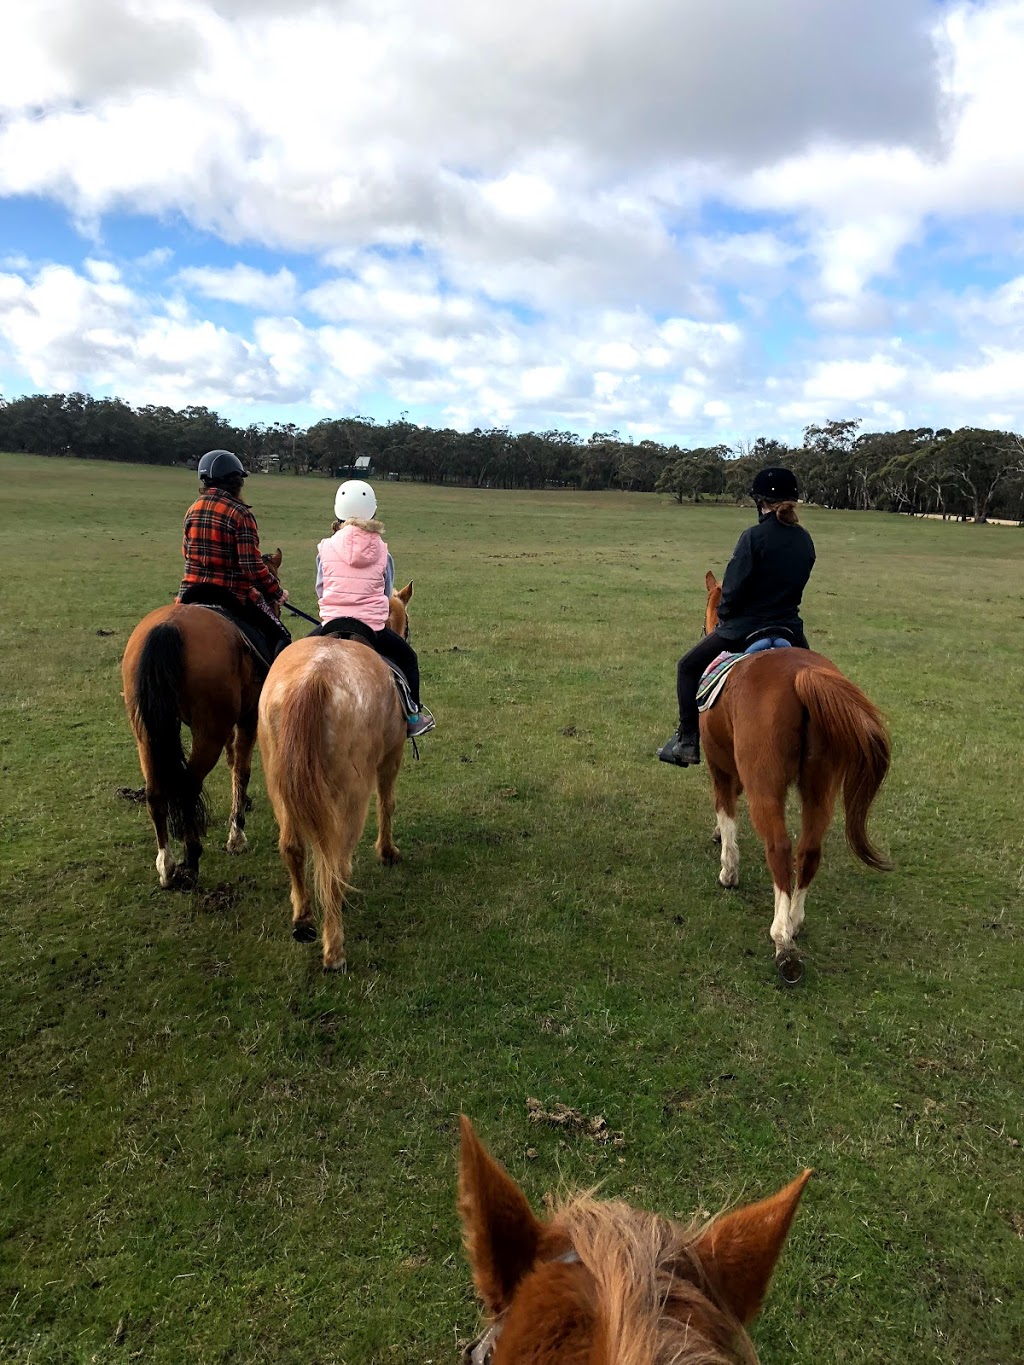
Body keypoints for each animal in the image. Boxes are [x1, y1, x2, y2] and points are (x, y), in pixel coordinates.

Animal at [122, 548, 286, 889]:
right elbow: (241, 769)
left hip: (147, 732)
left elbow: (233, 761)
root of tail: (168, 628)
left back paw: (167, 866)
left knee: (155, 792)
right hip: (209, 730)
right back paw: (192, 858)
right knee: (188, 786)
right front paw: (236, 835)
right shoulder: (248, 717)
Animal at [256, 581, 417, 966]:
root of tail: (314, 680)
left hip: (279, 784)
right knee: (334, 861)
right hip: (351, 794)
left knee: (292, 847)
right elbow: (388, 803)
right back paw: (334, 950)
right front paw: (387, 851)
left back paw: (303, 920)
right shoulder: (391, 756)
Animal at [704, 570, 895, 977]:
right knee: (809, 850)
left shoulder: (720, 765)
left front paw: (728, 869)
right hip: (820, 785)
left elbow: (725, 809)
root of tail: (801, 676)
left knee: (779, 847)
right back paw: (795, 921)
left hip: (766, 787)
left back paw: (781, 937)